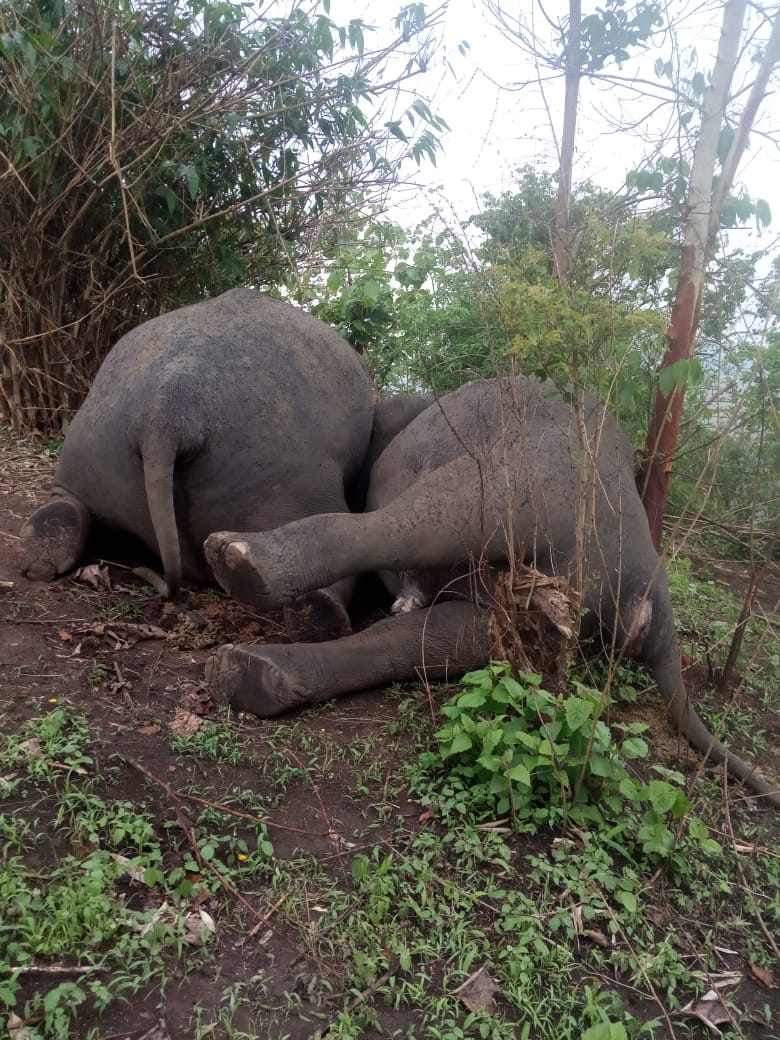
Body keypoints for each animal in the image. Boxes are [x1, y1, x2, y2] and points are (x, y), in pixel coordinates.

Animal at [19, 289, 382, 636]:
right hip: (280, 471)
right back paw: (320, 617)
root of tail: (167, 410)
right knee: (324, 524)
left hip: (93, 439)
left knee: (70, 500)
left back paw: (40, 556)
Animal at [205, 374, 780, 802]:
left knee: (444, 519)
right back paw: (253, 668)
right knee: (454, 633)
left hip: (538, 475)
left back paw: (238, 565)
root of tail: (649, 580)